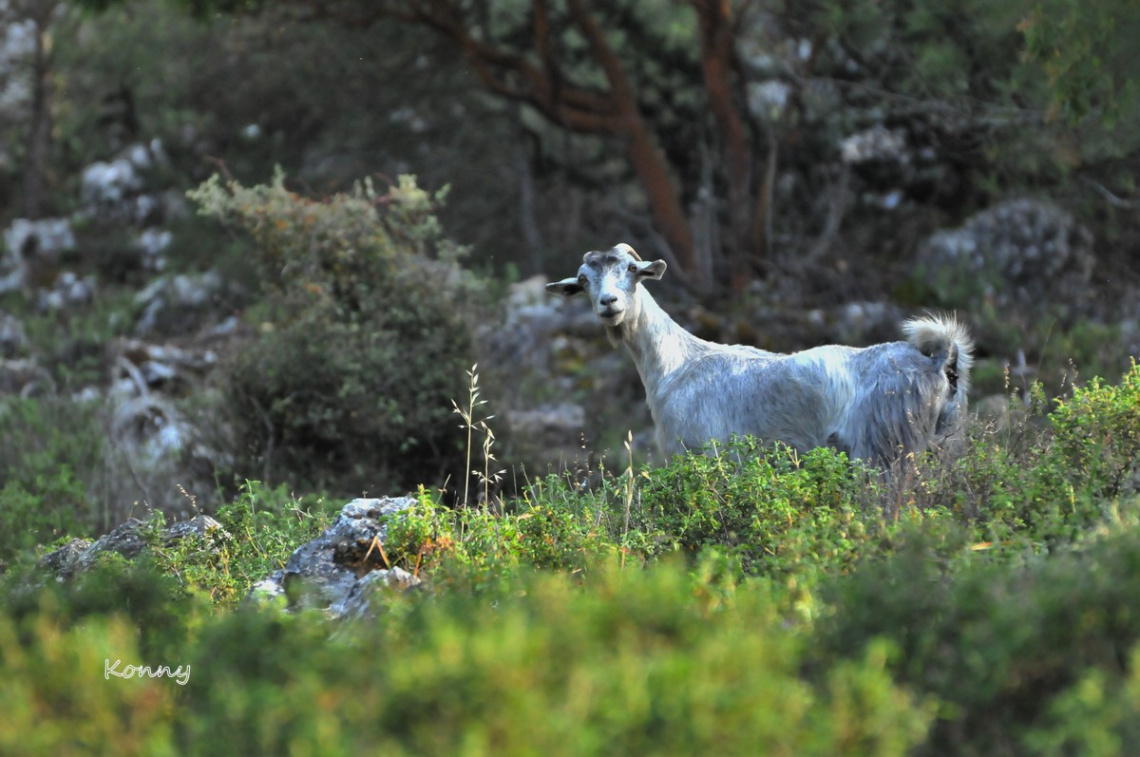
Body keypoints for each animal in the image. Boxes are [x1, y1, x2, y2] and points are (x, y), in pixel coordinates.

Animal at [547, 242, 975, 467]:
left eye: (633, 270)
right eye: (583, 281)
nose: (609, 303)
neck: (676, 365)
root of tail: (938, 362)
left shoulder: (703, 454)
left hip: (883, 450)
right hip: (945, 444)